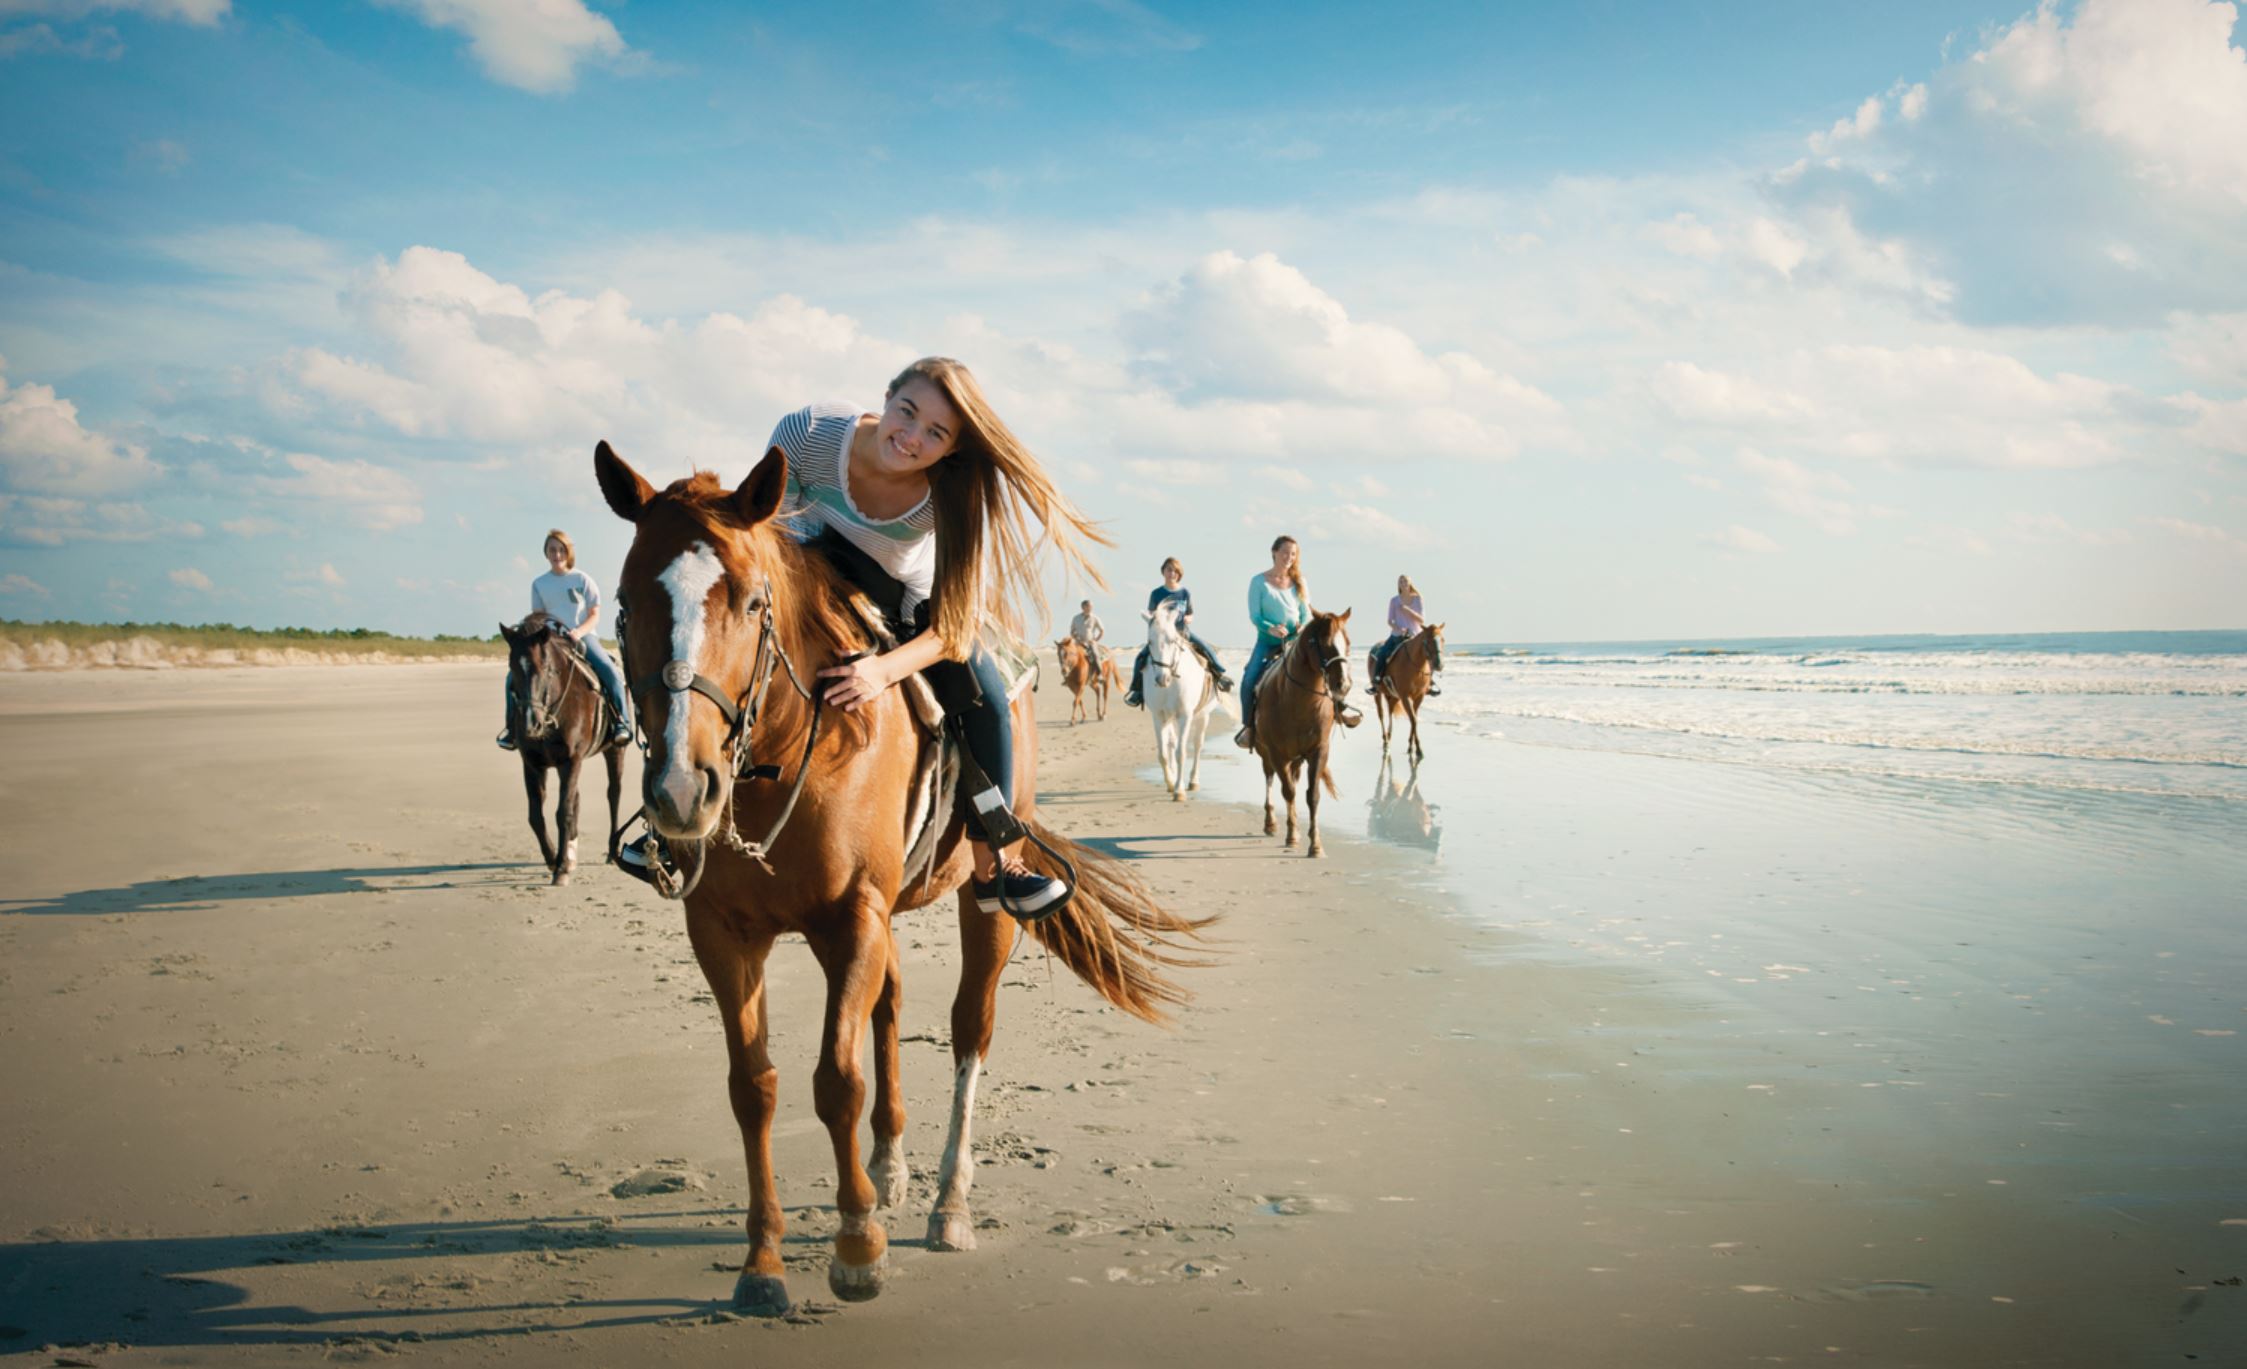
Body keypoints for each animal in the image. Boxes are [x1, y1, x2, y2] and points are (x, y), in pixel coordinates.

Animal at [499, 613, 624, 887]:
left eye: (547, 669)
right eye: (513, 668)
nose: (531, 723)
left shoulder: (571, 760)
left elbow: (563, 811)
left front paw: (561, 868)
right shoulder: (532, 763)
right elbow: (536, 815)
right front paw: (553, 858)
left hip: (614, 750)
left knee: (614, 794)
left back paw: (611, 851)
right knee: (576, 799)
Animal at [594, 440, 1208, 1317]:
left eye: (752, 602)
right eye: (621, 602)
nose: (680, 788)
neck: (782, 752)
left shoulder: (854, 915)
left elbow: (835, 1080)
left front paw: (856, 1246)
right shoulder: (726, 932)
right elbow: (755, 1085)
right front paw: (763, 1262)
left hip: (982, 903)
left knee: (968, 1027)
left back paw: (949, 1202)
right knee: (887, 1005)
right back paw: (887, 1165)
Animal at [1143, 598, 1219, 801]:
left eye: (1172, 640)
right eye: (1150, 641)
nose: (1162, 679)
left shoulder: (1185, 716)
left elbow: (1181, 752)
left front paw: (1179, 790)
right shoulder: (1158, 717)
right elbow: (1163, 753)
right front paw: (1170, 783)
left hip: (1203, 716)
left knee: (1198, 745)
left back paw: (1193, 781)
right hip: (1170, 718)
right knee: (1171, 743)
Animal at [1251, 608, 1353, 857]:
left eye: (1347, 642)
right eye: (1324, 643)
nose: (1343, 685)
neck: (1298, 702)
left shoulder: (1318, 751)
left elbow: (1312, 795)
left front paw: (1315, 844)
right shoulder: (1277, 753)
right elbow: (1288, 791)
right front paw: (1292, 836)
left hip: (1296, 759)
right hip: (1266, 753)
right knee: (1270, 778)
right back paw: (1271, 823)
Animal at [1370, 623, 1444, 763]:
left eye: (1442, 639)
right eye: (1426, 641)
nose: (1439, 664)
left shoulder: (1418, 697)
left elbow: (1414, 718)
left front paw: (1411, 746)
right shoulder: (1405, 697)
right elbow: (1413, 719)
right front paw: (1418, 749)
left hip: (1392, 695)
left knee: (1390, 712)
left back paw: (1389, 736)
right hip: (1378, 693)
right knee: (1381, 714)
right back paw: (1386, 740)